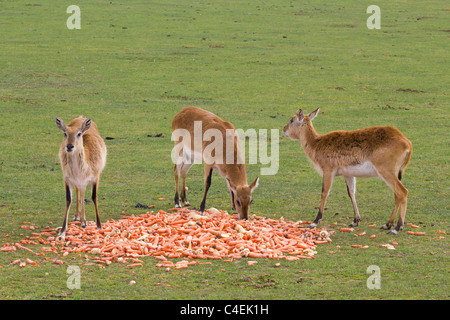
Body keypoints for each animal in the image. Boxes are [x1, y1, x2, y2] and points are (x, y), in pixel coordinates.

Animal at [284, 109, 414, 234]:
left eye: (291, 120)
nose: (284, 130)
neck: (316, 143)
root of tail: (407, 143)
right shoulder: (348, 174)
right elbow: (351, 193)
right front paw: (355, 221)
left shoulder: (328, 171)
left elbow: (324, 192)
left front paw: (315, 221)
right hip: (395, 173)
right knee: (396, 195)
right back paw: (387, 224)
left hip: (386, 172)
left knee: (403, 192)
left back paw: (397, 228)